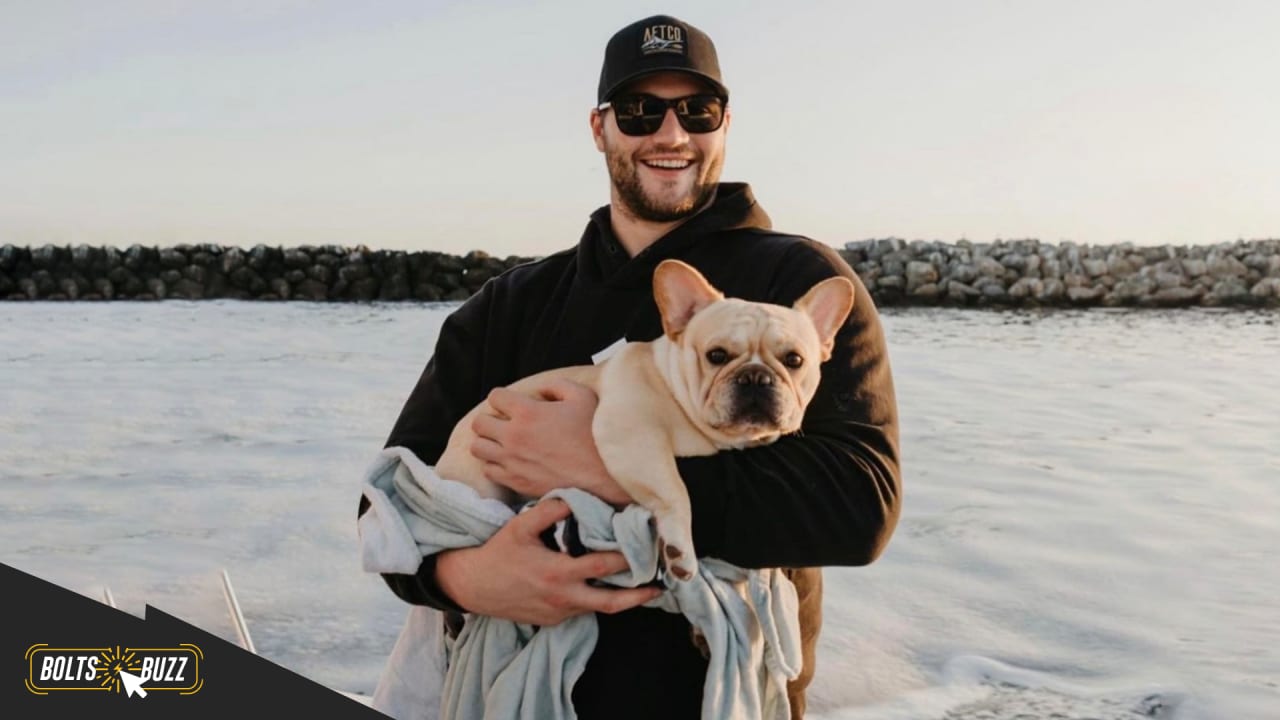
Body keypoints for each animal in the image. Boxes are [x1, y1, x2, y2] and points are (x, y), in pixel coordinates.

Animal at [435, 257, 855, 576]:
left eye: (794, 360)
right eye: (716, 355)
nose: (755, 377)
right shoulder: (633, 434)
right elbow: (674, 489)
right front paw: (680, 550)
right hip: (479, 484)